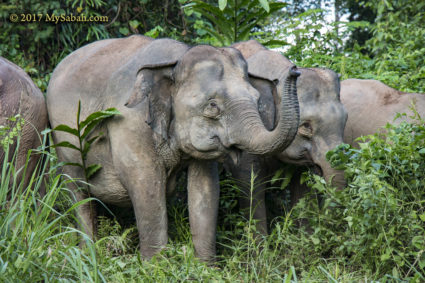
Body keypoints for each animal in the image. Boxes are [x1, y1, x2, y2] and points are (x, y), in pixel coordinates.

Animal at [45, 35, 302, 262]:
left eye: (257, 100)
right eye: (212, 106)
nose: (295, 70)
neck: (175, 61)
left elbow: (205, 188)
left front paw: (205, 269)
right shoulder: (129, 120)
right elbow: (146, 184)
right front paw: (155, 268)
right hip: (63, 142)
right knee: (78, 193)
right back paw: (87, 256)